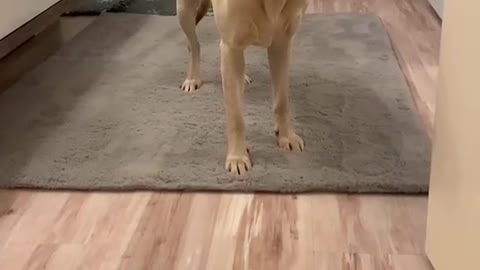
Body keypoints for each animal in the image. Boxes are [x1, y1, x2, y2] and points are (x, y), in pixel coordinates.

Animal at [177, 0, 308, 175]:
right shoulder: (232, 47)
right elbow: (236, 117)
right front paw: (237, 157)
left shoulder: (281, 44)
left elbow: (282, 102)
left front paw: (286, 136)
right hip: (184, 11)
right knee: (194, 45)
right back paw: (192, 78)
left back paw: (243, 77)